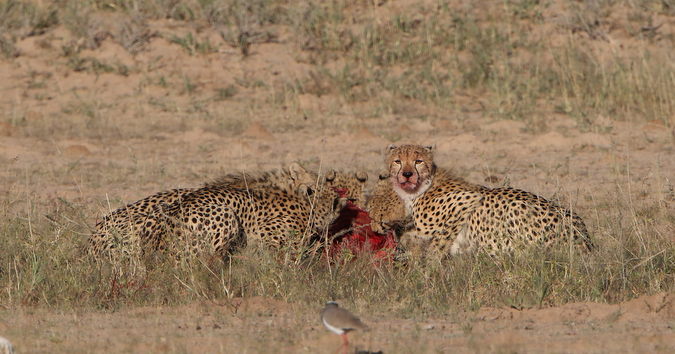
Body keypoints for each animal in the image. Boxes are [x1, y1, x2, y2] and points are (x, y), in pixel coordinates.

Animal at [382, 144, 596, 258]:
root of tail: (584, 239)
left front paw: (429, 263)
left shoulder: (466, 200)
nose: (407, 174)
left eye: (418, 161)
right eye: (398, 161)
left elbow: (435, 240)